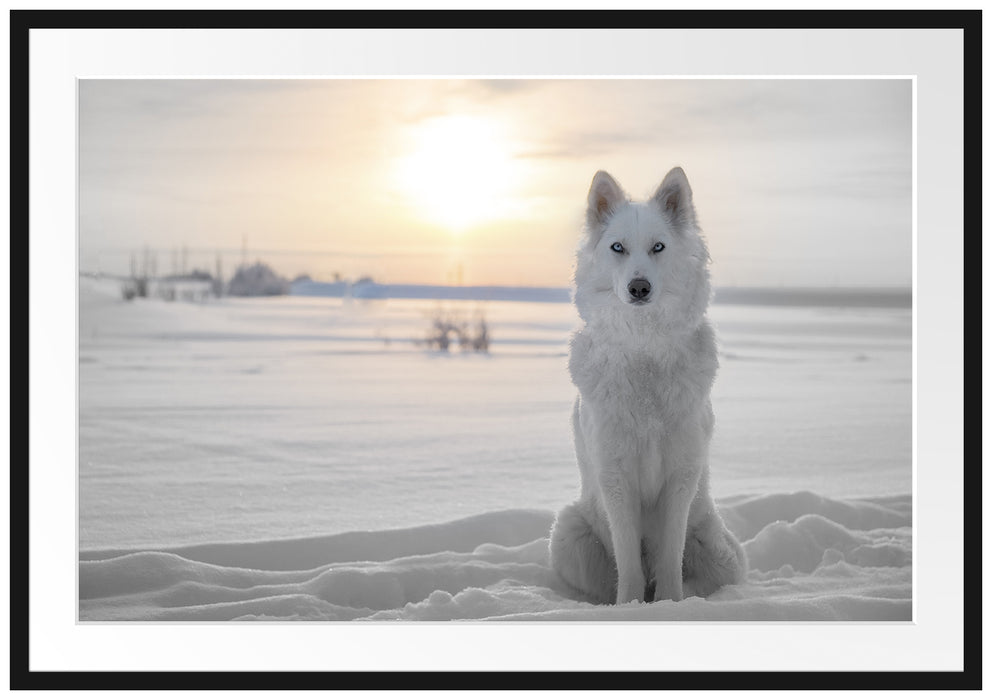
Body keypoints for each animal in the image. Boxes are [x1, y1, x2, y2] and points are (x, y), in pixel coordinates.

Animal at [549, 168, 747, 605]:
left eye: (658, 247)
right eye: (617, 247)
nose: (639, 288)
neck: (644, 351)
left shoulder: (681, 476)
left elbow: (671, 555)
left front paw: (671, 604)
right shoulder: (615, 477)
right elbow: (628, 560)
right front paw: (630, 606)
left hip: (720, 551)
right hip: (569, 533)